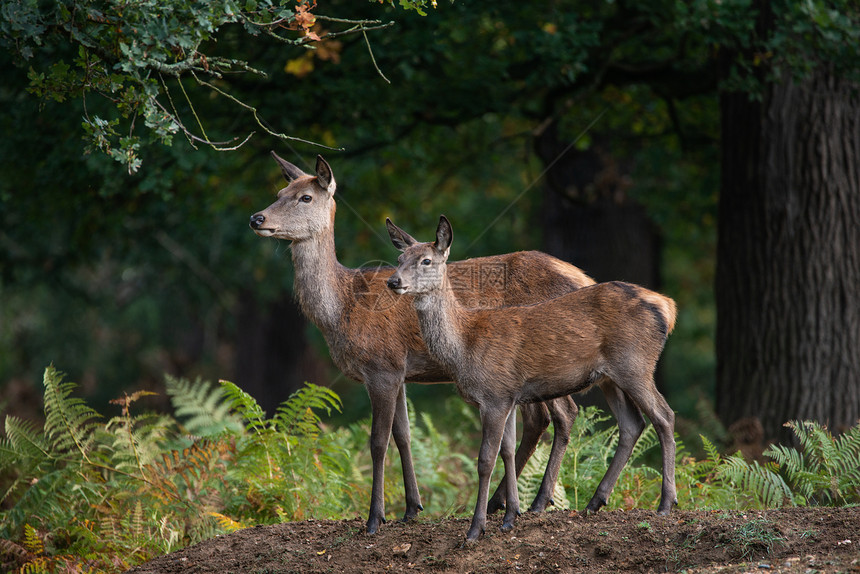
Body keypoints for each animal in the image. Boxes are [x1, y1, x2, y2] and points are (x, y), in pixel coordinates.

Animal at [252, 153, 596, 536]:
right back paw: (505, 504)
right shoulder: (398, 372)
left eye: (305, 197)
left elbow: (377, 442)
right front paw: (412, 507)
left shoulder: (382, 366)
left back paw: (535, 502)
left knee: (565, 413)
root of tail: (585, 278)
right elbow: (403, 434)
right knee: (542, 419)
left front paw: (375, 518)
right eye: (279, 192)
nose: (257, 218)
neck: (341, 310)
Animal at [388, 217, 680, 544]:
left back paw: (666, 503)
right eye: (399, 258)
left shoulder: (494, 395)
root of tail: (668, 307)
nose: (393, 281)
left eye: (426, 260)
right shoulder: (508, 396)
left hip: (635, 364)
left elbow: (485, 460)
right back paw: (595, 502)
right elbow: (507, 450)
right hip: (610, 377)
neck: (464, 345)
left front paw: (477, 528)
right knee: (632, 423)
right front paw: (509, 516)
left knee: (664, 416)